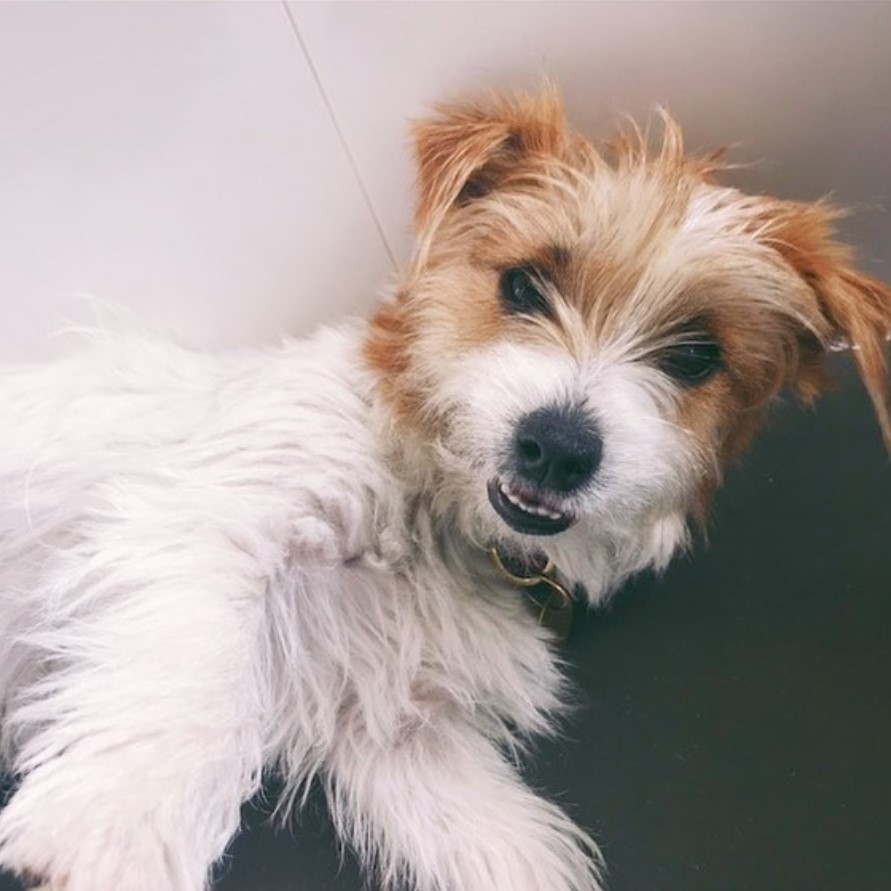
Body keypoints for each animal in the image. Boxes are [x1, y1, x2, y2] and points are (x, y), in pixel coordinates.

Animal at [0, 89, 888, 891]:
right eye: (522, 287)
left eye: (697, 355)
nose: (557, 448)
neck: (439, 522)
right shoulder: (212, 517)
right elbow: (194, 687)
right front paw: (118, 829)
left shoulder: (400, 726)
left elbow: (503, 843)